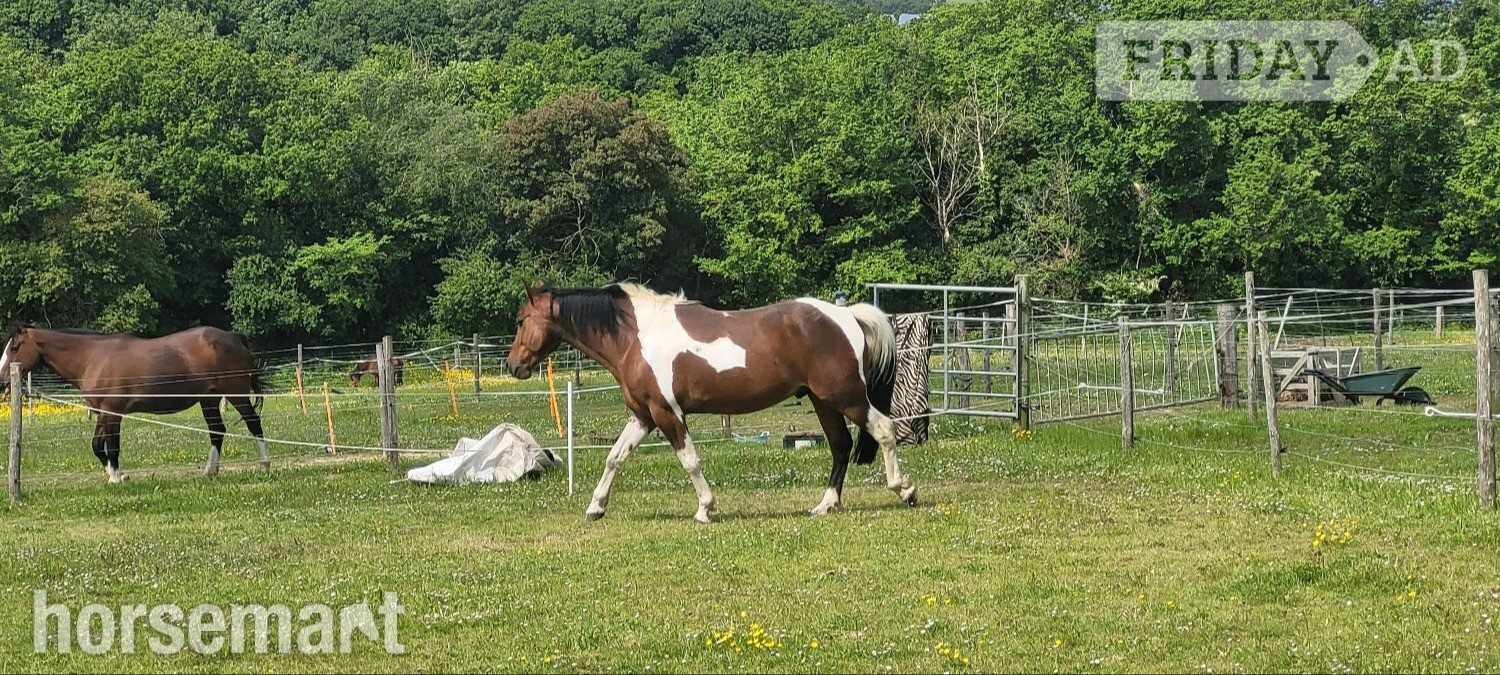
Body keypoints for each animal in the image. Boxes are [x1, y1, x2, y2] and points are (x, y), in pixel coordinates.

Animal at [0, 324, 270, 482]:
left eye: (14, 347)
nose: (2, 381)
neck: (92, 358)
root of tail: (234, 337)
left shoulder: (112, 413)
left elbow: (112, 446)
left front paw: (117, 477)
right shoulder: (102, 412)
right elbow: (97, 445)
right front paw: (116, 475)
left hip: (235, 393)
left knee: (253, 424)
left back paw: (265, 464)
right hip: (209, 399)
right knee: (217, 431)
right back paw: (210, 471)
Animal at [504, 282, 917, 524]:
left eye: (521, 320)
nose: (512, 365)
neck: (635, 336)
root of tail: (846, 316)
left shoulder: (667, 414)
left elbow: (690, 460)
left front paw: (705, 509)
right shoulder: (643, 416)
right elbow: (615, 457)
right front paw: (596, 507)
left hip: (845, 397)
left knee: (883, 430)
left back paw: (905, 490)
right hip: (824, 401)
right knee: (841, 446)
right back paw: (826, 504)